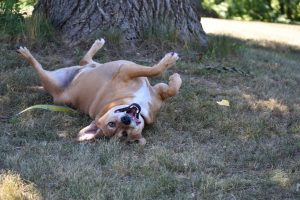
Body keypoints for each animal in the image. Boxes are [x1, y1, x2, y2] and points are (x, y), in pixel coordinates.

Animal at [17, 38, 182, 145]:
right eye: (112, 125)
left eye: (125, 133)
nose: (126, 120)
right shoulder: (125, 71)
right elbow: (154, 70)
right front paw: (170, 63)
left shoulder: (154, 91)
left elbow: (170, 90)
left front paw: (175, 80)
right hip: (49, 79)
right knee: (38, 67)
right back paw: (25, 54)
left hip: (90, 67)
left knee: (85, 61)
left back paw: (97, 44)